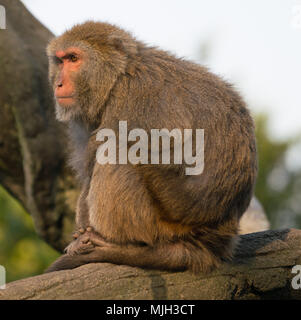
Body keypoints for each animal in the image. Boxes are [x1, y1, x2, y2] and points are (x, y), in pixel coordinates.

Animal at [45, 21, 256, 274]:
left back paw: (120, 243)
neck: (119, 77)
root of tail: (212, 244)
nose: (58, 83)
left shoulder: (135, 102)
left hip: (165, 226)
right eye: (60, 61)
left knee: (116, 149)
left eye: (74, 58)